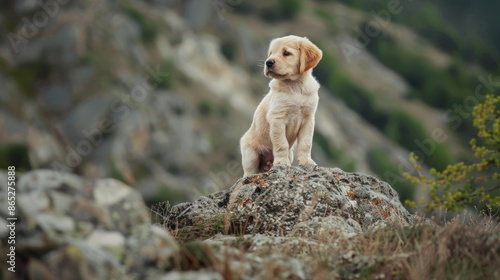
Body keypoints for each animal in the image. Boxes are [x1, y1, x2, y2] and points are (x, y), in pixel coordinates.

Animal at [239, 34, 324, 175]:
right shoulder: (277, 117)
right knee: (249, 172)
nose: (268, 62)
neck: (295, 86)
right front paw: (282, 162)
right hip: (250, 154)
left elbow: (306, 144)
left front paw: (307, 162)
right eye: (271, 53)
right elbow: (281, 143)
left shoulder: (308, 119)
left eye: (286, 53)